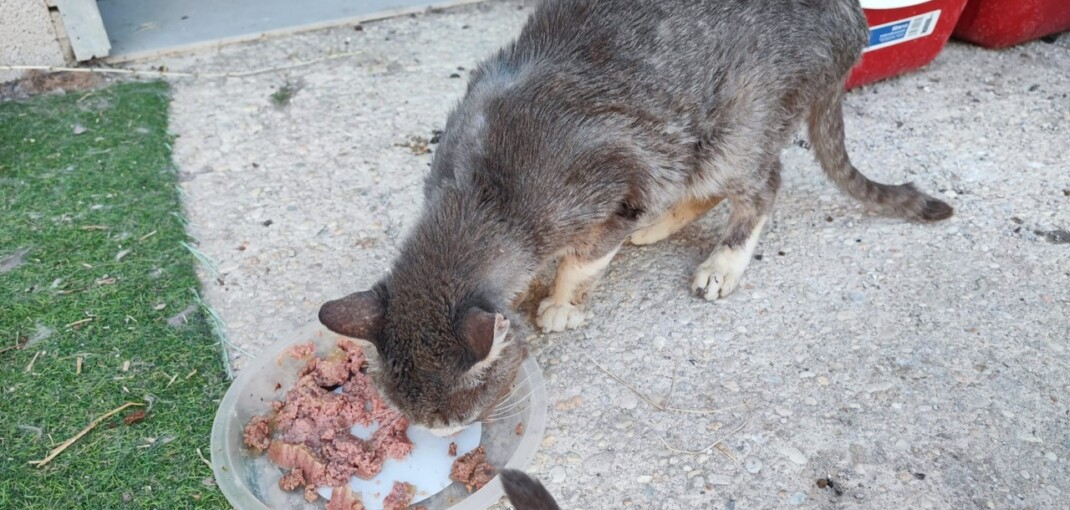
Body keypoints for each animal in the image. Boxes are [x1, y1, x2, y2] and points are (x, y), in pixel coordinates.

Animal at [318, 0, 954, 434]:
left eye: (459, 419)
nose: (441, 439)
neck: (484, 191)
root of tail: (850, 14)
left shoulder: (615, 195)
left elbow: (582, 261)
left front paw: (561, 303)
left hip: (736, 128)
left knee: (762, 187)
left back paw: (723, 260)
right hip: (697, 147)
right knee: (701, 189)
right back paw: (662, 224)